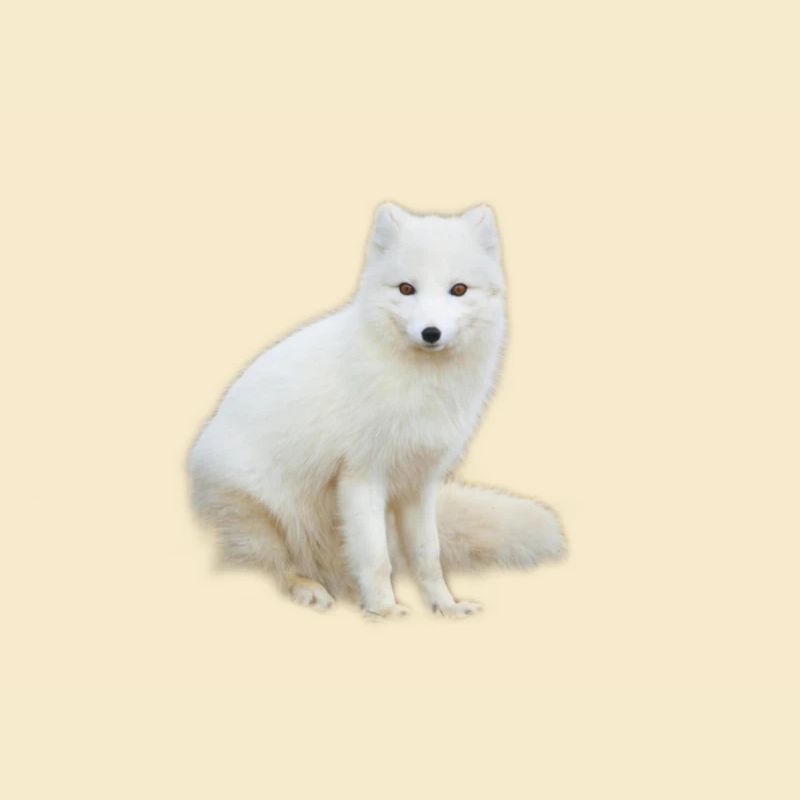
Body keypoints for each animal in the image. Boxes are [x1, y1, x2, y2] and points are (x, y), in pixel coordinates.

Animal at [188, 203, 566, 618]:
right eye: (406, 288)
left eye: (459, 289)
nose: (430, 333)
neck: (421, 386)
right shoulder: (360, 475)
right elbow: (375, 558)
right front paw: (385, 612)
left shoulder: (420, 482)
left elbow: (427, 556)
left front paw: (445, 606)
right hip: (256, 514)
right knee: (271, 566)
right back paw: (309, 589)